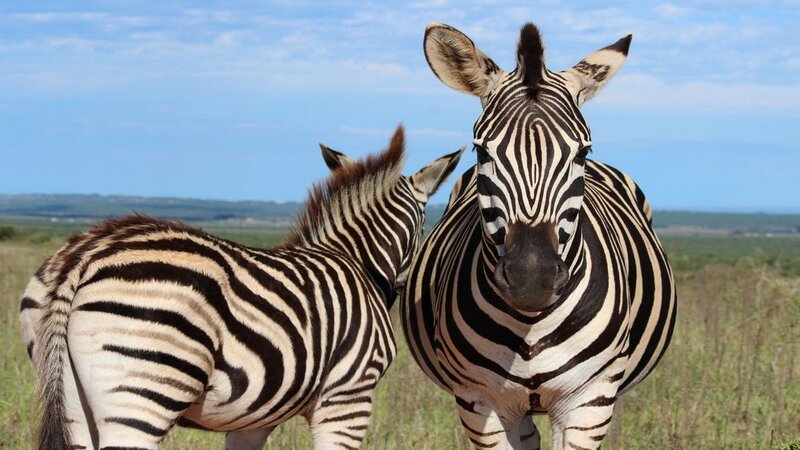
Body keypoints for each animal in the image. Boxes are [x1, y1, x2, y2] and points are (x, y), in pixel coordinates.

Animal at [19, 126, 463, 450]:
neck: (356, 261)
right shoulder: (348, 397)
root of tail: (86, 254)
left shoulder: (254, 417)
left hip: (72, 397)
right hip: (143, 391)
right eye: (425, 225)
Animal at [401, 23, 677, 450]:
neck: (531, 328)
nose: (532, 279)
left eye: (582, 154)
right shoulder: (479, 401)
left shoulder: (590, 400)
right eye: (481, 153)